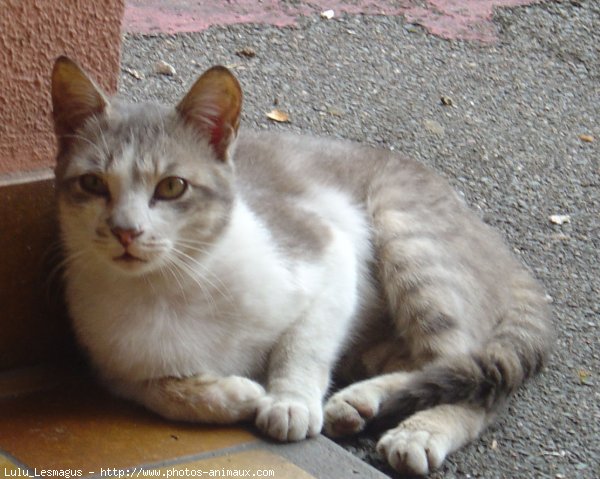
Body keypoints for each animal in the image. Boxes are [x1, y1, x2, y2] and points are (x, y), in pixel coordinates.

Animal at [50, 56, 552, 476]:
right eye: (92, 183)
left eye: (172, 187)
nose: (126, 231)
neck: (169, 288)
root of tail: (499, 245)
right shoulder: (113, 368)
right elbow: (160, 391)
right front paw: (231, 394)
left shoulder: (325, 248)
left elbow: (303, 344)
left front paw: (288, 401)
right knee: (431, 366)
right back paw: (359, 401)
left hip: (407, 238)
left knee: (469, 374)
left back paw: (419, 431)